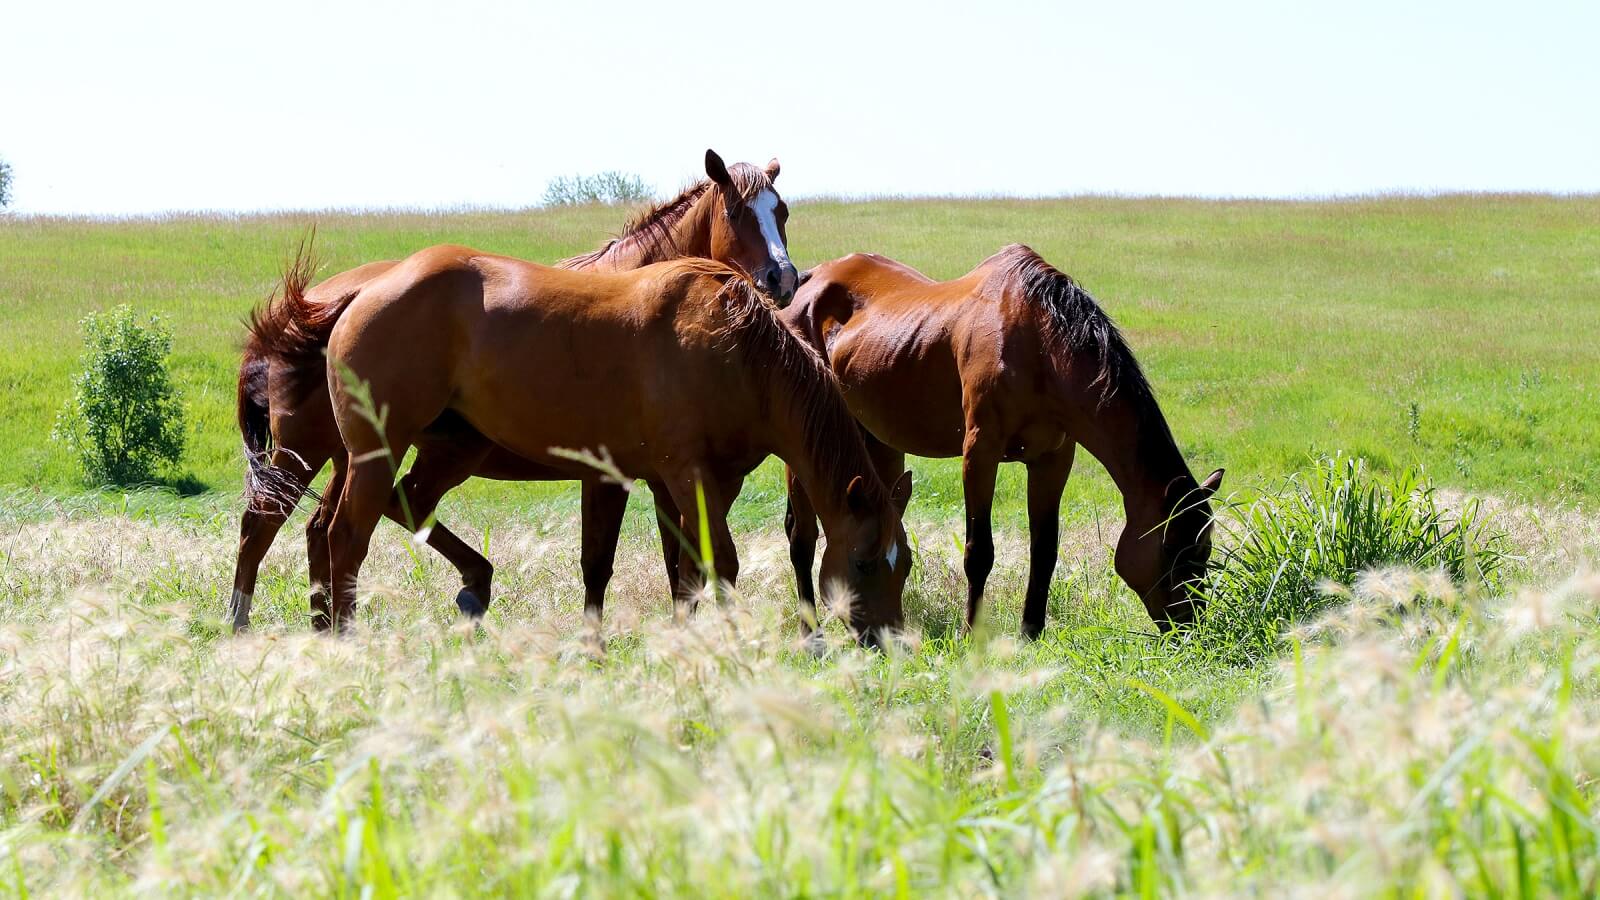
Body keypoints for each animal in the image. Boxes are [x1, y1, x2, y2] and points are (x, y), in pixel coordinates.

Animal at [228, 150, 796, 627]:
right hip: (315, 451)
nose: (784, 279)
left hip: (360, 455)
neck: (636, 293)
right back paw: (245, 623)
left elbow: (677, 561)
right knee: (270, 524)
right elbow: (616, 563)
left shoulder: (663, 476)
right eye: (737, 213)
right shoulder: (619, 473)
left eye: (783, 212)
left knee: (322, 528)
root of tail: (337, 299)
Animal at [780, 245, 1216, 634]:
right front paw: (972, 635)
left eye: (1204, 550)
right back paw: (810, 629)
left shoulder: (1053, 460)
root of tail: (810, 282)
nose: (1190, 626)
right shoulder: (980, 454)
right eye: (1174, 551)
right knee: (802, 537)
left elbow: (1045, 550)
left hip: (879, 443)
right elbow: (980, 553)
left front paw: (1031, 633)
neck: (1039, 345)